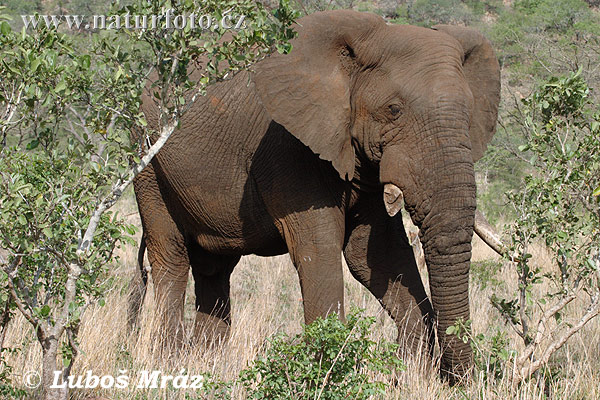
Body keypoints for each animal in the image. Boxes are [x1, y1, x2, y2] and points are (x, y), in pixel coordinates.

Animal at [131, 8, 502, 378]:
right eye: (394, 110)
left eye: (469, 112)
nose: (453, 380)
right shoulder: (288, 148)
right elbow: (319, 249)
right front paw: (331, 373)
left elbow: (376, 254)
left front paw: (410, 376)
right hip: (146, 156)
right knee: (171, 256)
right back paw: (167, 363)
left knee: (215, 268)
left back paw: (207, 364)